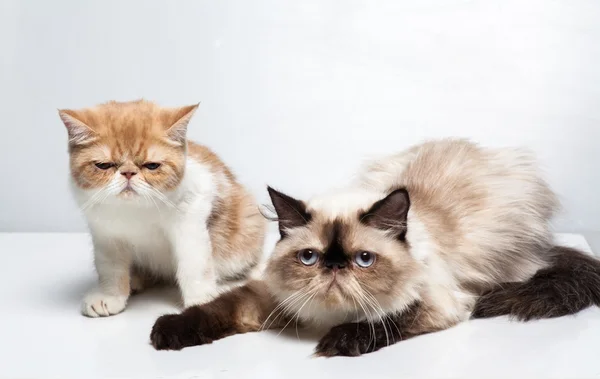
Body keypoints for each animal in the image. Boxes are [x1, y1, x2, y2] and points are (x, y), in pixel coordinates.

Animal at [58, 98, 264, 318]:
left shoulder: (191, 220)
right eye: (104, 165)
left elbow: (194, 264)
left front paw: (201, 301)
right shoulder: (106, 235)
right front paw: (110, 296)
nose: (128, 172)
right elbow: (110, 268)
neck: (135, 211)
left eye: (152, 166)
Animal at [146, 139, 600, 356]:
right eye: (309, 257)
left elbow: (385, 319)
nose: (333, 268)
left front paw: (336, 343)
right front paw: (167, 332)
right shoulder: (271, 298)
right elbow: (214, 309)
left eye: (364, 260)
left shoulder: (437, 302)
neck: (328, 316)